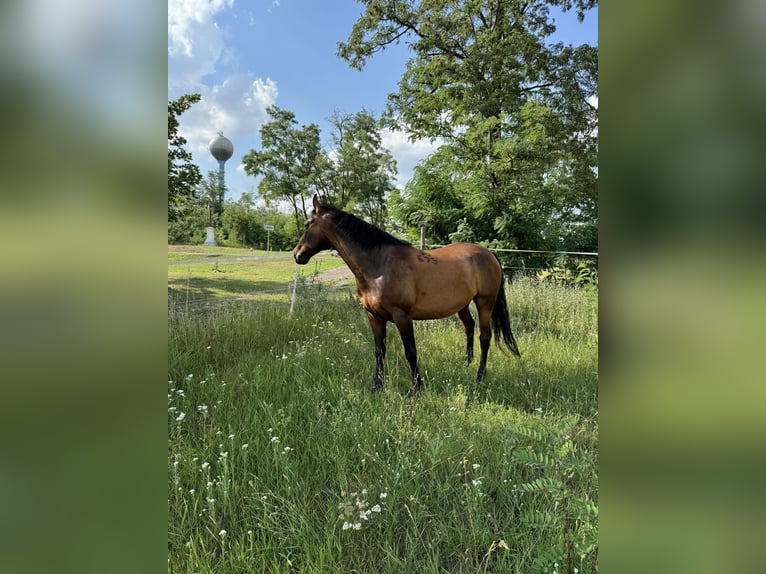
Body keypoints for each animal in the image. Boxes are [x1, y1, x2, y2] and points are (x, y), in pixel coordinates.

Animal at [294, 196, 520, 394]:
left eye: (307, 224)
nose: (297, 255)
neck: (380, 266)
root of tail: (489, 253)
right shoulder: (373, 316)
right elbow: (379, 351)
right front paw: (377, 386)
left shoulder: (402, 317)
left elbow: (410, 352)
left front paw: (417, 388)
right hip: (462, 305)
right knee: (469, 328)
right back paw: (466, 364)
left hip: (485, 303)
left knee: (485, 337)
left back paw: (480, 376)